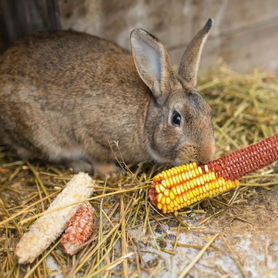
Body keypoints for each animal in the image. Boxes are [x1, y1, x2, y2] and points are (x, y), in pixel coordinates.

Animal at [0, 18, 215, 177]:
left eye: (209, 112)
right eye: (176, 119)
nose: (206, 156)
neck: (144, 117)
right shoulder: (91, 133)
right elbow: (97, 156)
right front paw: (111, 172)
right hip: (42, 136)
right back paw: (81, 165)